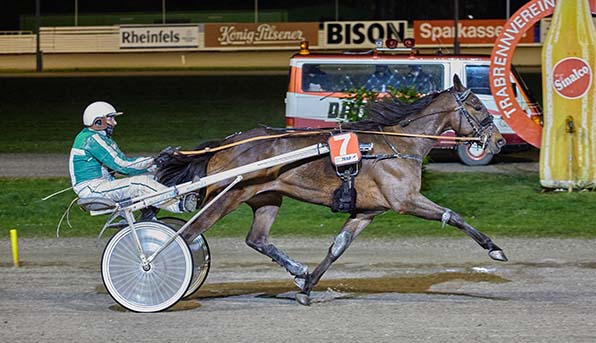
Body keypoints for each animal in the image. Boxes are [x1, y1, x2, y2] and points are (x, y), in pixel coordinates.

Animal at [155, 75, 508, 306]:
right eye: (477, 106)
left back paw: (296, 269)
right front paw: (494, 248)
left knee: (256, 239)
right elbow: (454, 216)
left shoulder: (367, 211)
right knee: (186, 236)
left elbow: (337, 247)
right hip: (226, 196)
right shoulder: (405, 200)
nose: (499, 140)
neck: (397, 146)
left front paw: (307, 285)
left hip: (266, 198)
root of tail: (226, 144)